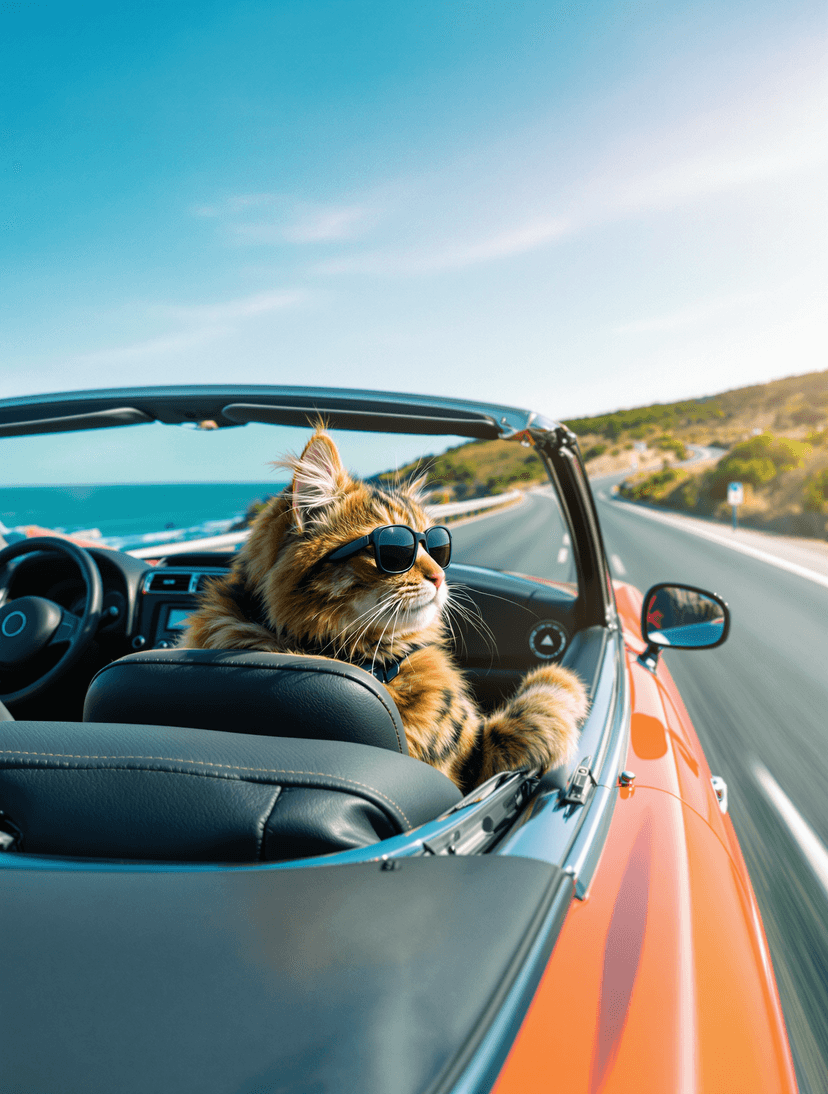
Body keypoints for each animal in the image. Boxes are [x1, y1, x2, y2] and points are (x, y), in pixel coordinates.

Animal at [182, 422, 586, 792]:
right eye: (396, 550)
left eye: (438, 546)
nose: (440, 576)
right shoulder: (480, 754)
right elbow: (549, 694)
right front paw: (565, 679)